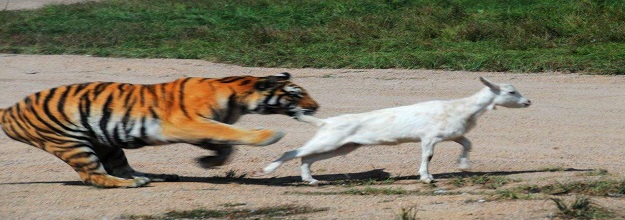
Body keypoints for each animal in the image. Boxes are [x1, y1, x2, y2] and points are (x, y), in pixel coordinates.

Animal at [0, 72, 320, 187]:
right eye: (295, 94)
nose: (316, 106)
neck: (236, 97)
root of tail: (10, 109)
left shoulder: (201, 127)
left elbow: (223, 144)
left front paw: (208, 161)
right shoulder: (185, 123)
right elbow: (231, 135)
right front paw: (269, 135)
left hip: (107, 143)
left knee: (120, 167)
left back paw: (152, 176)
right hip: (71, 142)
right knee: (94, 176)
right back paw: (132, 184)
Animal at [254, 77, 532, 184]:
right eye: (510, 91)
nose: (528, 102)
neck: (461, 107)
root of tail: (324, 122)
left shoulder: (453, 134)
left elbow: (468, 144)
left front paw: (463, 164)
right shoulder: (429, 137)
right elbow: (427, 156)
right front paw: (426, 177)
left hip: (342, 145)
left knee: (307, 157)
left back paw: (311, 180)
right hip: (331, 140)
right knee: (293, 151)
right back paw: (269, 169)